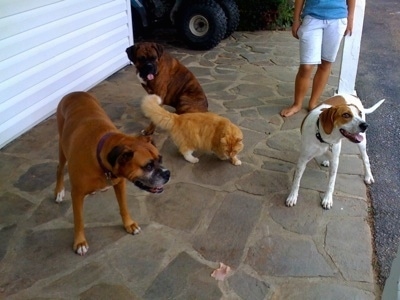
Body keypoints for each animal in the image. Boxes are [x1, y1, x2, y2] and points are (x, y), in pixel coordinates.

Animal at [54, 91, 170, 255]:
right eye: (148, 166)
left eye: (160, 159)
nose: (167, 173)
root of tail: (74, 92)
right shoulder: (76, 194)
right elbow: (79, 220)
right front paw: (80, 242)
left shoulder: (120, 183)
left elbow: (123, 207)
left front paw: (129, 224)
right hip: (62, 148)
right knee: (59, 168)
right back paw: (59, 192)